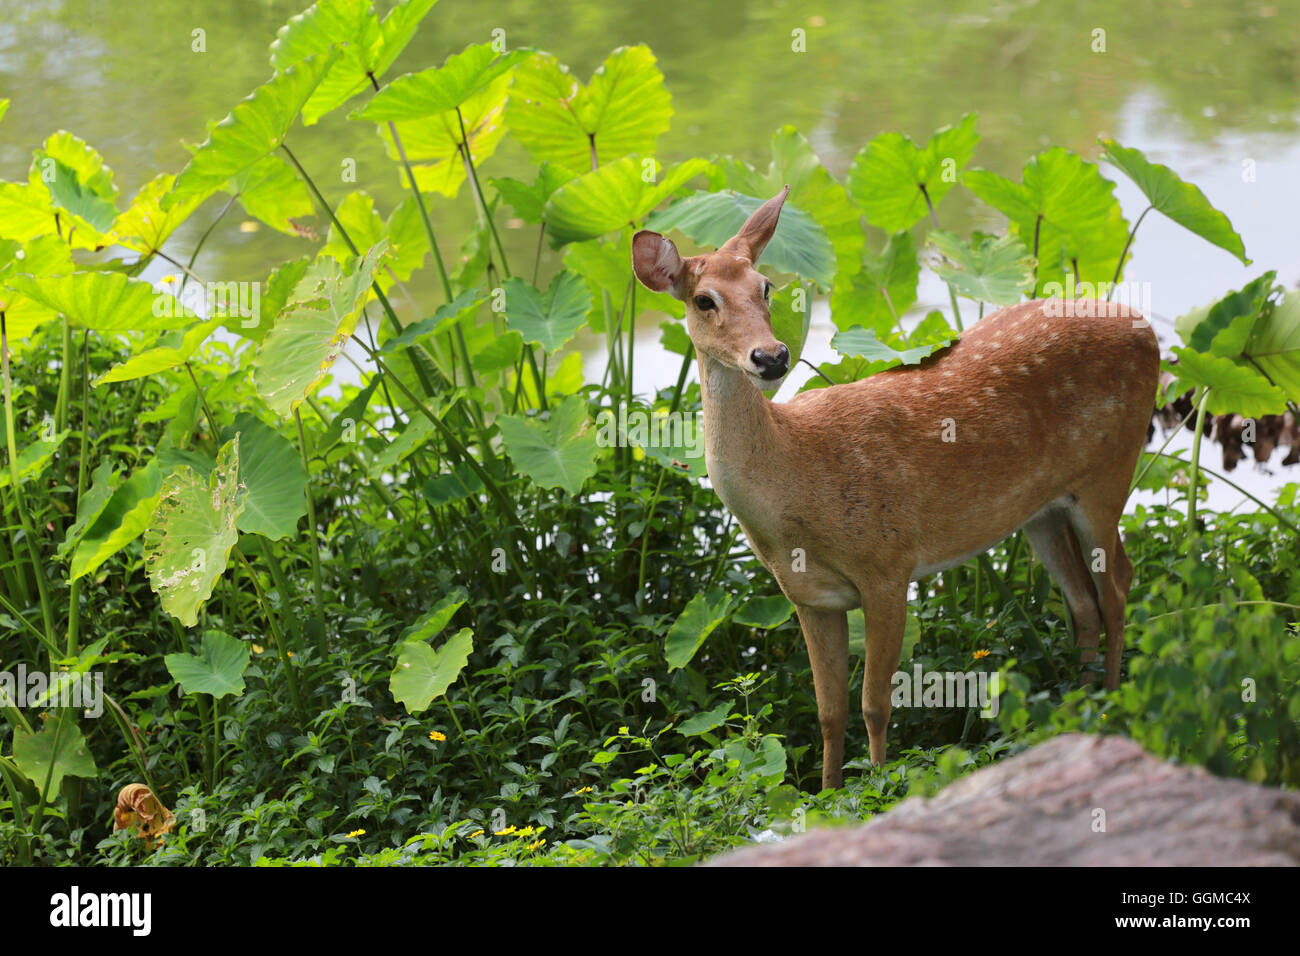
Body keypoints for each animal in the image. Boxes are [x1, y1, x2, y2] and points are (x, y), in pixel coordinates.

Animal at [629, 183, 1159, 790]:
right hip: (1042, 510)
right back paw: (1080, 708)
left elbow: (874, 703)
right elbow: (828, 709)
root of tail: (1146, 326)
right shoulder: (809, 598)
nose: (772, 356)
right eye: (703, 301)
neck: (796, 487)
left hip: (1110, 472)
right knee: (1083, 601)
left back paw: (1112, 706)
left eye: (766, 287)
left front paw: (879, 787)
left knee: (1119, 584)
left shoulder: (888, 565)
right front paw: (827, 792)